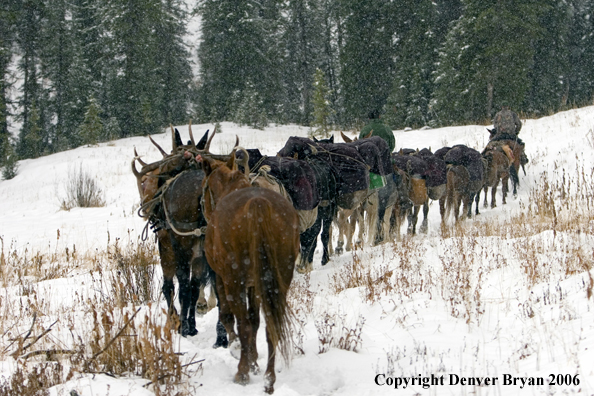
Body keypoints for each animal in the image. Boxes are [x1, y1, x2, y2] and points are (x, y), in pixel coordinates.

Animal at [200, 153, 300, 394]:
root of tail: (258, 204)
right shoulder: (255, 283)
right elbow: (255, 320)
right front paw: (254, 361)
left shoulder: (222, 278)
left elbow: (229, 317)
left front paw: (239, 351)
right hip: (278, 281)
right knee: (271, 326)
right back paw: (268, 380)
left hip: (234, 280)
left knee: (242, 322)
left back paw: (242, 372)